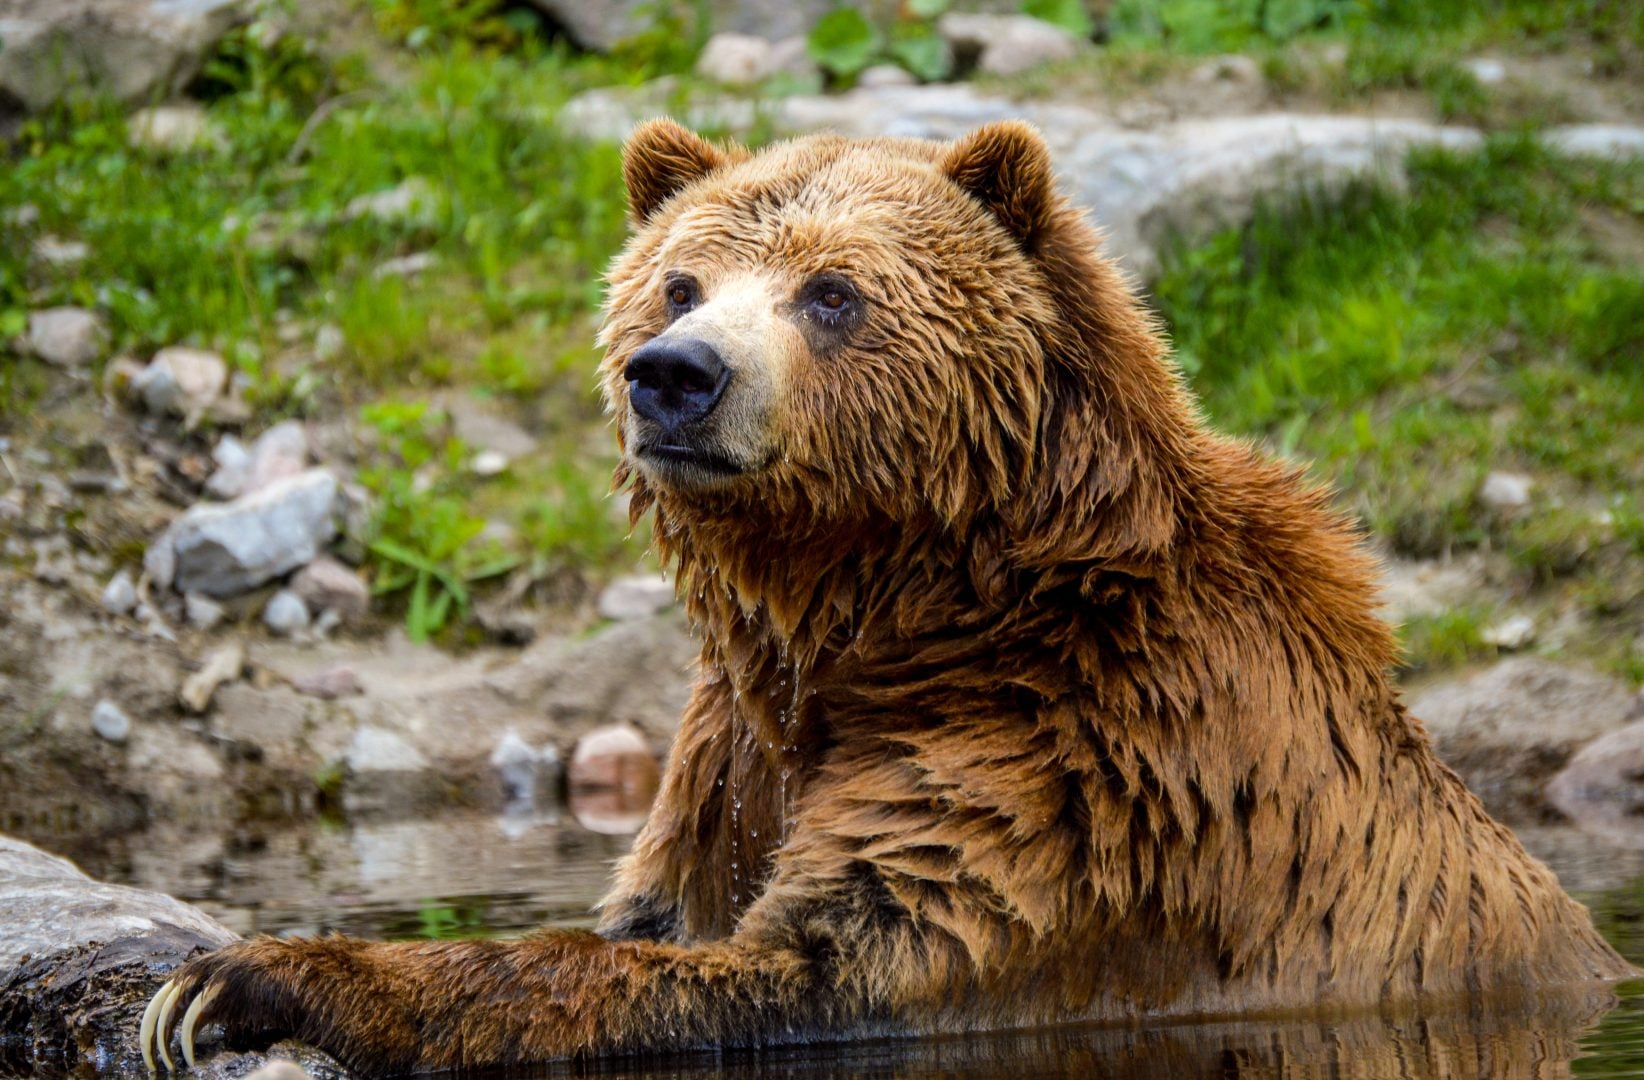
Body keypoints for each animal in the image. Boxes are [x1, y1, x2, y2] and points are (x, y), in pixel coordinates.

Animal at [139, 119, 1636, 1077]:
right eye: (678, 280)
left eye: (833, 292)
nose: (675, 375)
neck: (889, 603)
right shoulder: (732, 756)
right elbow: (661, 913)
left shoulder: (1068, 767)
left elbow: (821, 960)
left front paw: (247, 979)